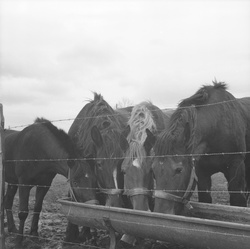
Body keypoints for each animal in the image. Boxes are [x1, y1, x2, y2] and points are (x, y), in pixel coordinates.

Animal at [146, 81, 250, 214]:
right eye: (153, 171)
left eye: (179, 170)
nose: (161, 212)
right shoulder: (201, 171)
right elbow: (205, 201)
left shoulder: (236, 166)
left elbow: (238, 202)